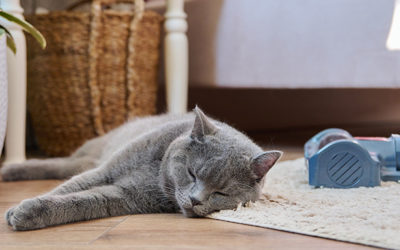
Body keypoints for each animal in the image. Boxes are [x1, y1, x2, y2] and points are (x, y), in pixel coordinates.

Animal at [1, 107, 282, 230]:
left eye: (221, 193)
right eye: (191, 173)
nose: (195, 200)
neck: (156, 174)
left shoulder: (124, 196)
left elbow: (82, 200)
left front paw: (26, 213)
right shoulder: (106, 170)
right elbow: (70, 187)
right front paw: (17, 210)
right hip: (94, 152)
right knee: (62, 166)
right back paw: (9, 171)